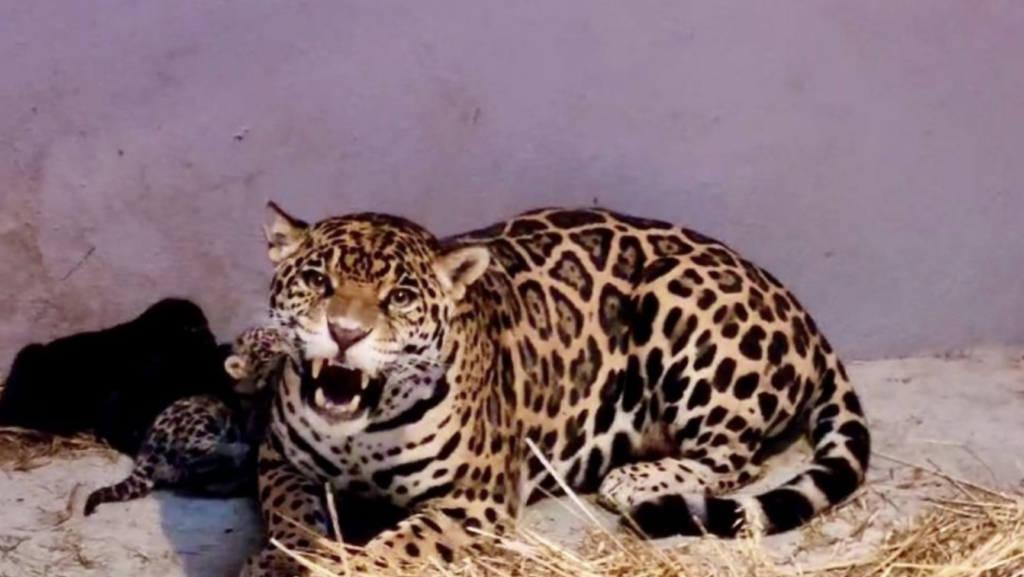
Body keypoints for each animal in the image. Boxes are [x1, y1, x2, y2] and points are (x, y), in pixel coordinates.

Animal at [241, 202, 871, 576]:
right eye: (316, 280)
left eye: (399, 297)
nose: (345, 333)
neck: (361, 432)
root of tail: (802, 312)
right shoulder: (278, 460)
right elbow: (291, 516)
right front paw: (281, 560)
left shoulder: (474, 499)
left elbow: (397, 546)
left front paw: (339, 566)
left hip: (677, 297)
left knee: (736, 459)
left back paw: (633, 479)